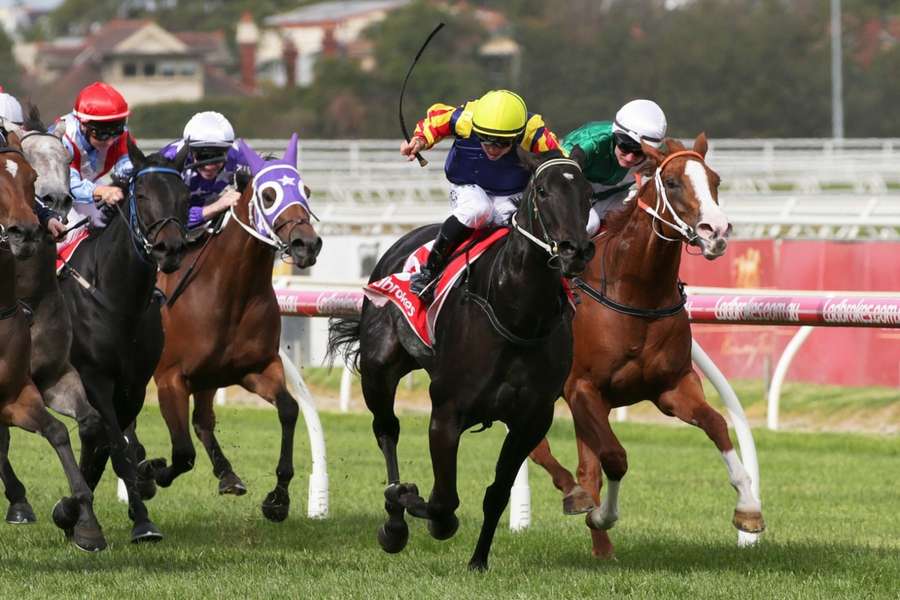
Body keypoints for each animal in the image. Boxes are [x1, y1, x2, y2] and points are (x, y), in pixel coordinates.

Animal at [52, 141, 190, 544]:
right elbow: (113, 444)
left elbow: (113, 446)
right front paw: (135, 521)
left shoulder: (134, 384)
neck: (118, 301)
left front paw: (73, 513)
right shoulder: (94, 378)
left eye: (185, 196)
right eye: (141, 194)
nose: (169, 248)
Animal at [130, 136, 320, 520]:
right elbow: (182, 454)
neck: (231, 292)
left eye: (306, 191)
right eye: (268, 195)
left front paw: (278, 497)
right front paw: (150, 473)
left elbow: (289, 409)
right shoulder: (170, 378)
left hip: (208, 377)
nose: (306, 245)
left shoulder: (255, 369)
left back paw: (227, 474)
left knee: (203, 419)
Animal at [532, 134, 764, 560]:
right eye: (671, 182)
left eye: (715, 180)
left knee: (584, 467)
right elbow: (615, 457)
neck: (636, 293)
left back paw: (600, 545)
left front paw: (748, 509)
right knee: (542, 448)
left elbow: (717, 424)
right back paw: (575, 497)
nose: (717, 231)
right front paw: (602, 516)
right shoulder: (582, 388)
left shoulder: (671, 387)